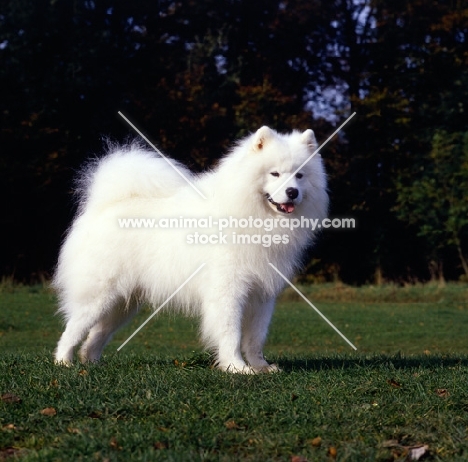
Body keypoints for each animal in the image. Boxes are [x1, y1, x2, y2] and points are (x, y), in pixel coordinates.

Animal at [52, 125, 330, 372]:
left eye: (300, 175)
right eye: (274, 174)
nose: (292, 192)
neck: (255, 215)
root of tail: (104, 205)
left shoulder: (262, 294)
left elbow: (255, 338)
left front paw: (261, 367)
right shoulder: (227, 290)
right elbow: (231, 332)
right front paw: (236, 367)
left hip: (122, 304)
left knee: (96, 334)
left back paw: (91, 362)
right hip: (100, 295)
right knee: (72, 328)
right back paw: (63, 362)